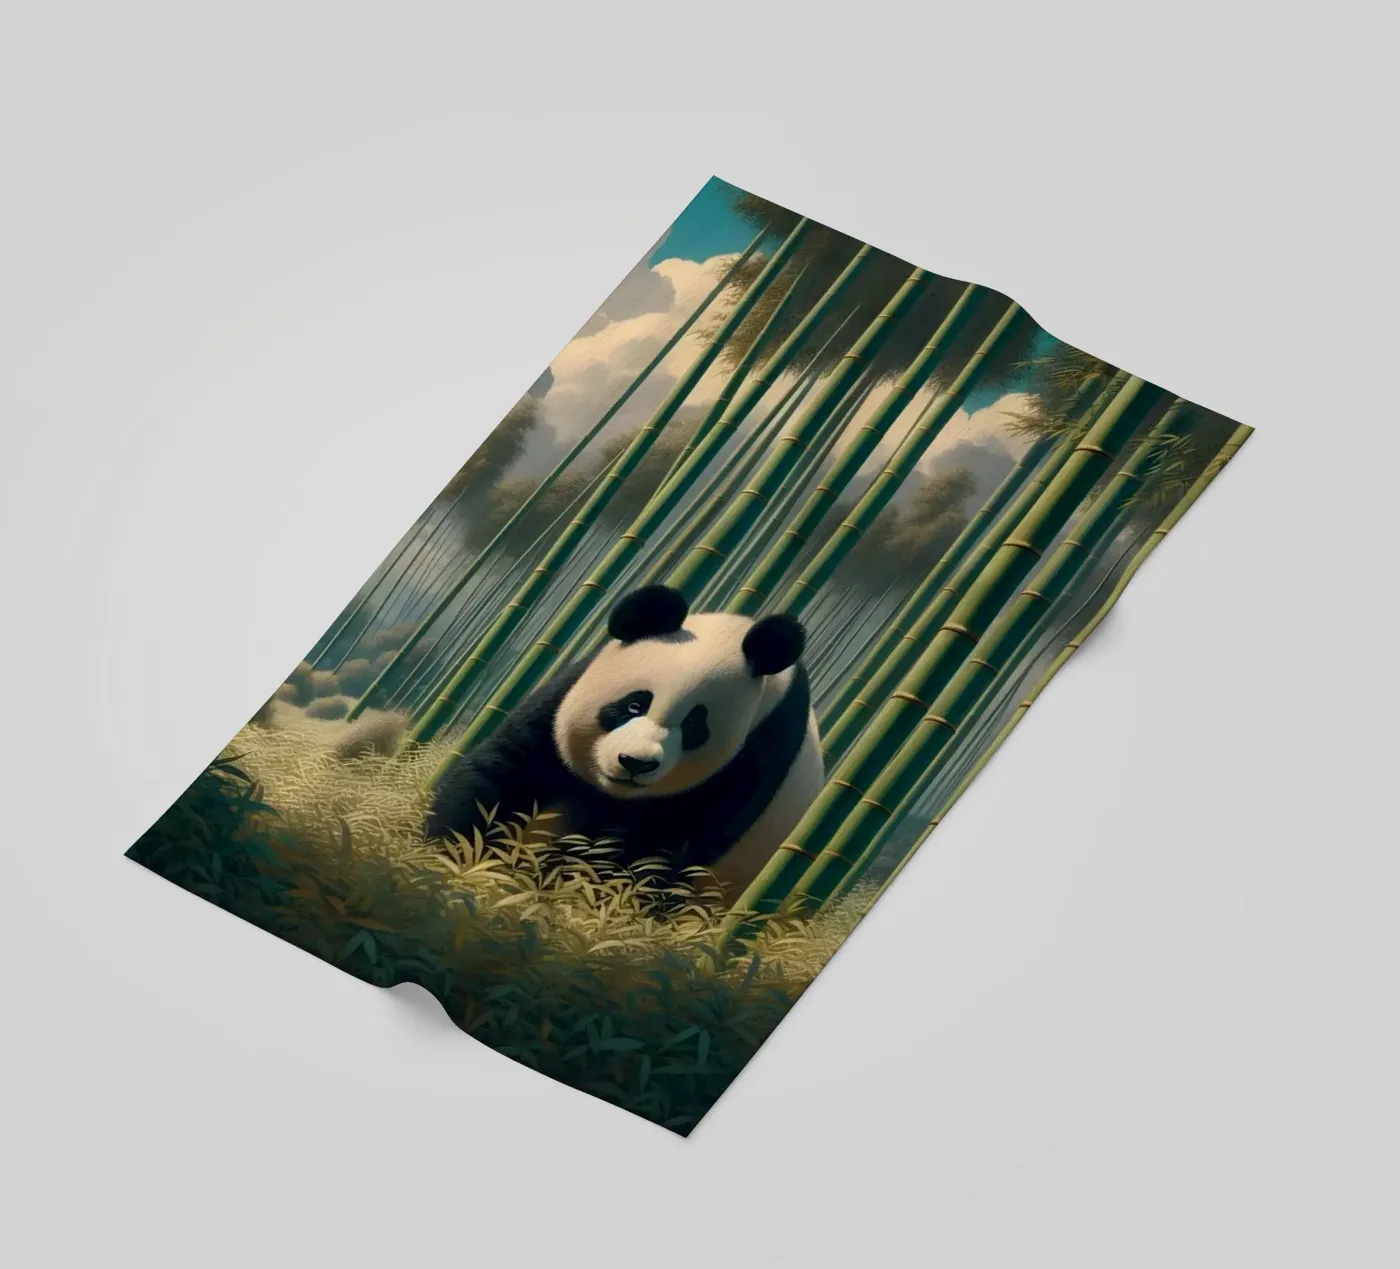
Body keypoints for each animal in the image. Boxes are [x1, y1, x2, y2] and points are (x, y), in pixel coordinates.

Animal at [425, 584, 825, 896]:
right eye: (634, 704)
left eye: (695, 726)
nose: (635, 762)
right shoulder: (564, 696)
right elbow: (506, 769)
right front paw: (445, 855)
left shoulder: (756, 757)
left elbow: (659, 845)